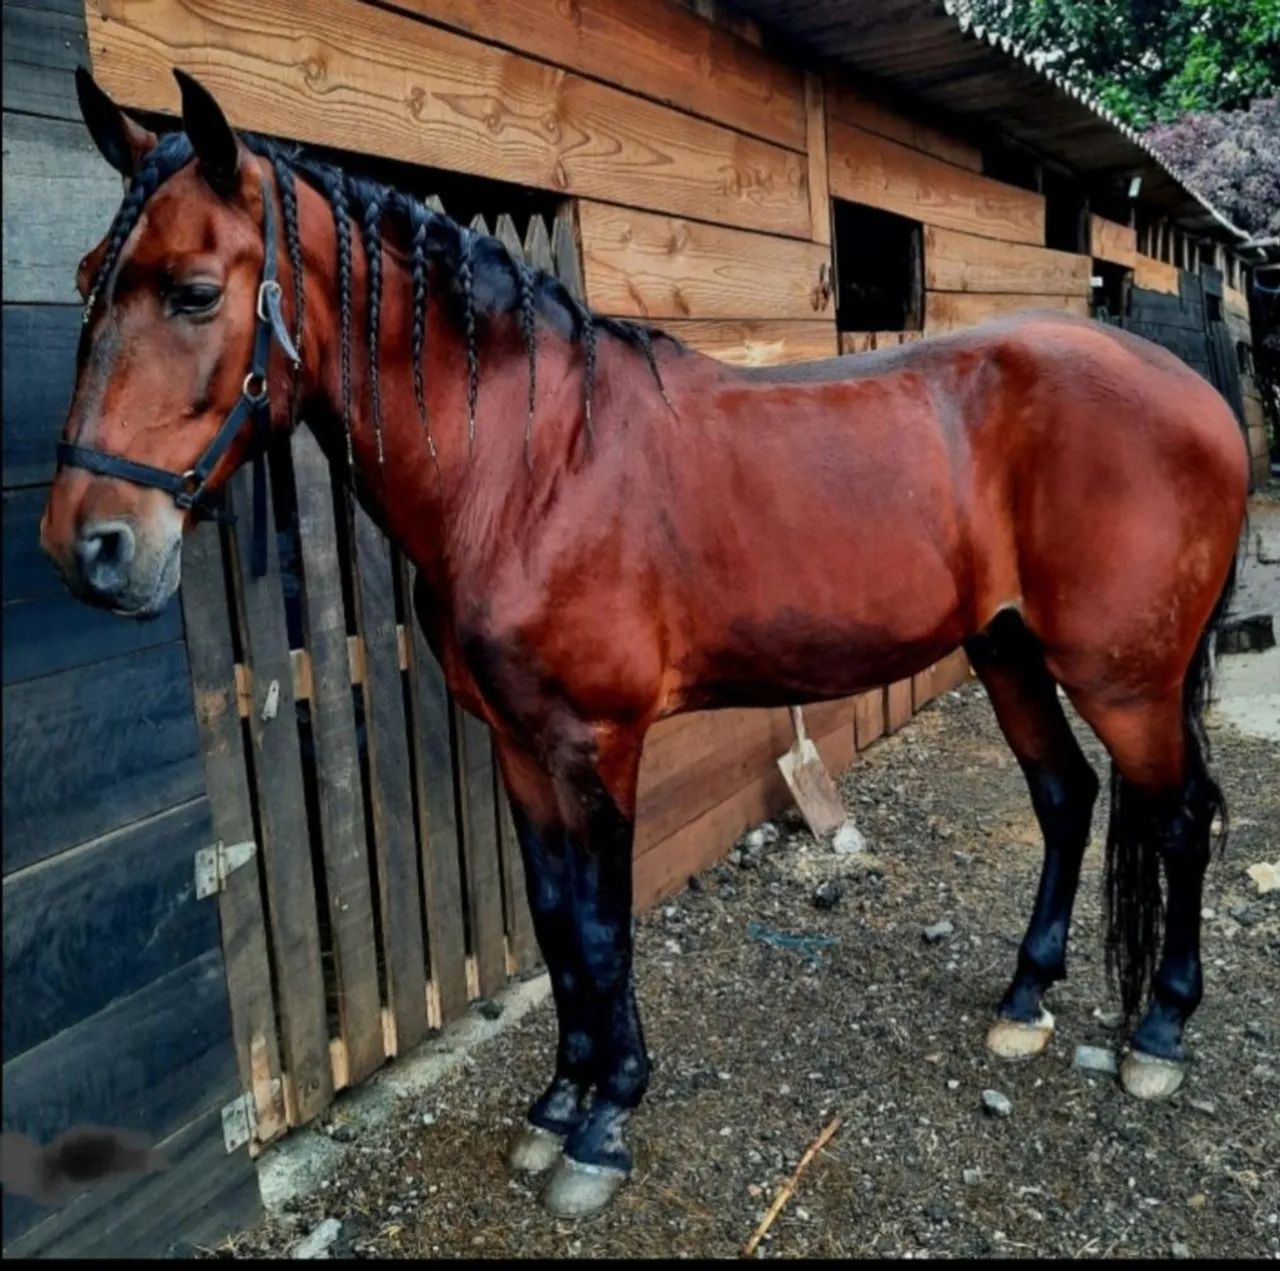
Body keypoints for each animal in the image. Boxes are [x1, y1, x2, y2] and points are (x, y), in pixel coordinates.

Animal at [42, 69, 1249, 1218]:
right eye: (89, 277)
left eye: (196, 292)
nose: (88, 547)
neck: (528, 464)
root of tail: (1199, 397)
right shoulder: (521, 748)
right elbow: (555, 923)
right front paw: (556, 1099)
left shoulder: (596, 743)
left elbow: (603, 926)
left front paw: (606, 1121)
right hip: (1006, 652)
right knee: (1065, 797)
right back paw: (1024, 999)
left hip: (1124, 679)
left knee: (1180, 815)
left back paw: (1158, 1033)